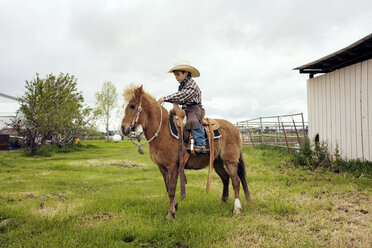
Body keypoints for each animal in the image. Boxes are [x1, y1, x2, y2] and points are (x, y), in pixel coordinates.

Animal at [121, 85, 250, 219]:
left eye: (132, 105)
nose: (123, 128)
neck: (163, 131)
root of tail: (236, 129)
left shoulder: (173, 166)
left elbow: (172, 189)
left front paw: (170, 214)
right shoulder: (161, 167)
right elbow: (167, 187)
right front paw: (175, 206)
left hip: (230, 161)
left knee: (236, 181)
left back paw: (237, 208)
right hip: (217, 162)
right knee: (225, 178)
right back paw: (223, 201)